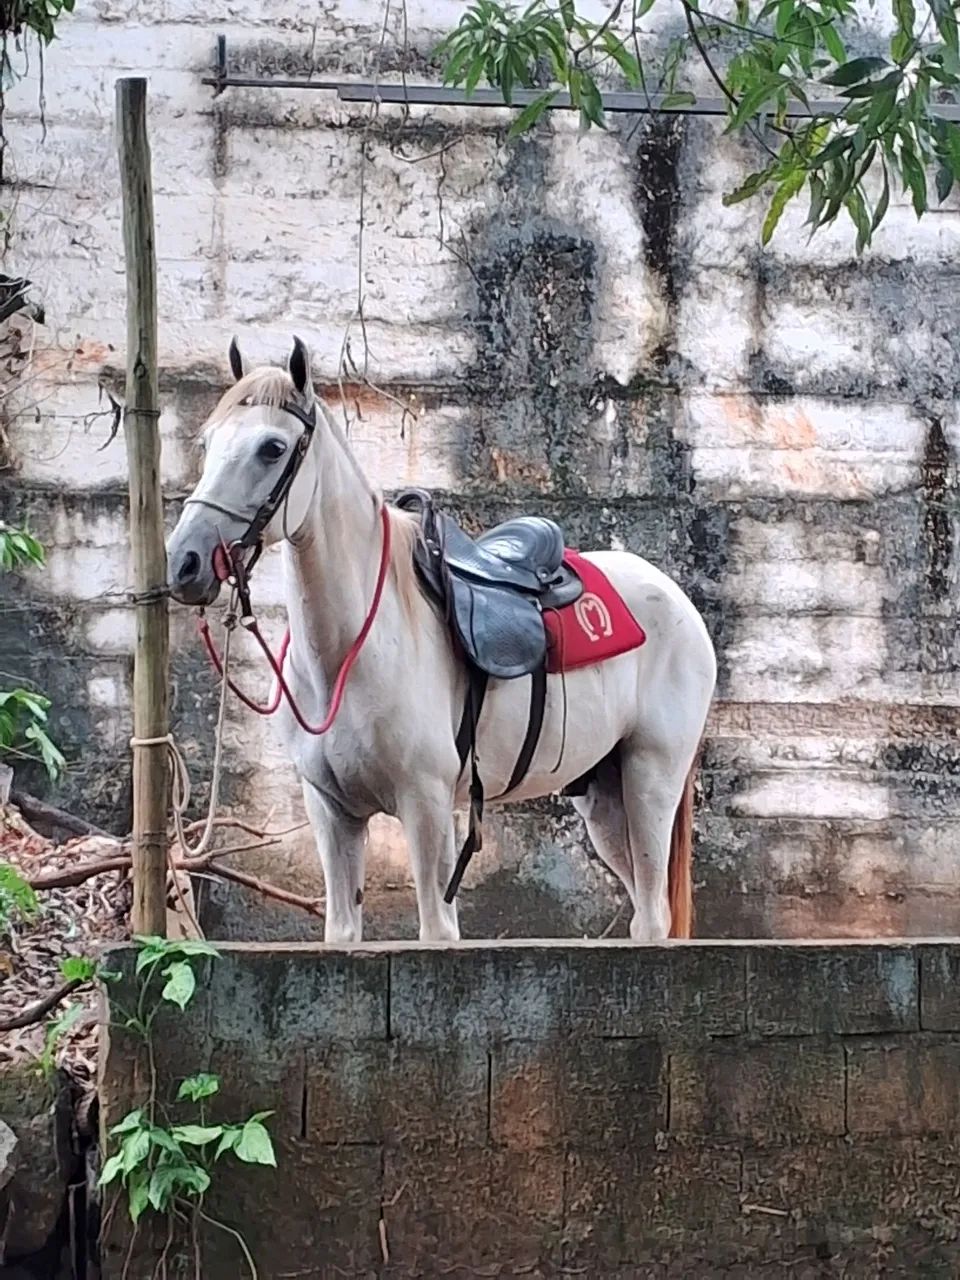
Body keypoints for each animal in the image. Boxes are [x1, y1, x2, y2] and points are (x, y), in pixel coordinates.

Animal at [165, 337, 717, 944]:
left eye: (272, 447)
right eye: (207, 441)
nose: (185, 562)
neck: (349, 654)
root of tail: (675, 597)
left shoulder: (426, 805)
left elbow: (435, 931)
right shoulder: (331, 812)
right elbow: (342, 933)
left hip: (651, 778)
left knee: (653, 916)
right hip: (605, 799)